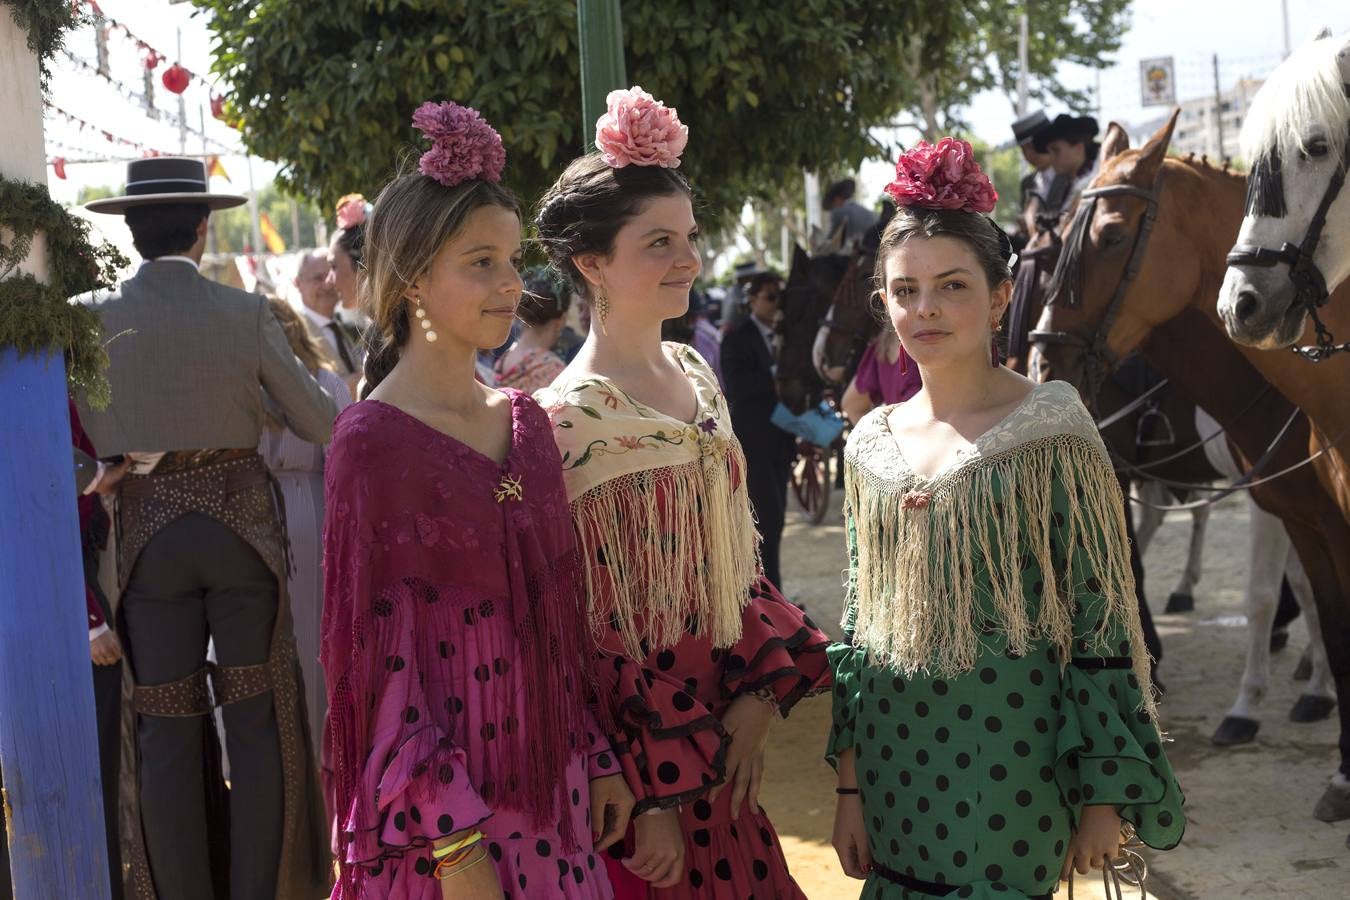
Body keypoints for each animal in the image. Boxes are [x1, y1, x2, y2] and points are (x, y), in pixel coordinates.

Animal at [1036, 112, 1350, 831]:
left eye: (1112, 236)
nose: (1039, 361)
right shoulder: (1301, 514)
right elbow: (1323, 611)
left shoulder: (1294, 512)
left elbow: (1267, 597)